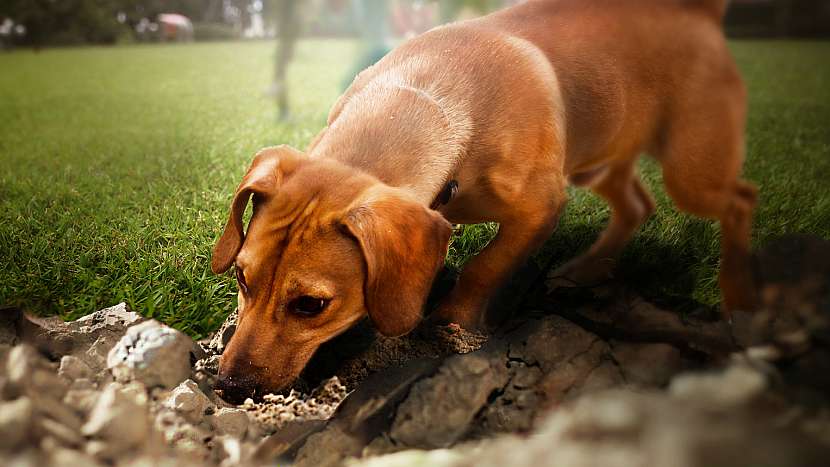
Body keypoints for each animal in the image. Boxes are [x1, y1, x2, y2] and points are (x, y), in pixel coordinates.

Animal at [211, 0, 756, 402]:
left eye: (310, 305)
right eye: (241, 276)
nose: (229, 387)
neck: (429, 95)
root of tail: (696, 12)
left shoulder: (540, 208)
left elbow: (484, 267)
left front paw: (452, 322)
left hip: (691, 170)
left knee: (739, 200)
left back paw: (738, 299)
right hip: (603, 156)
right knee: (637, 206)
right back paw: (586, 269)